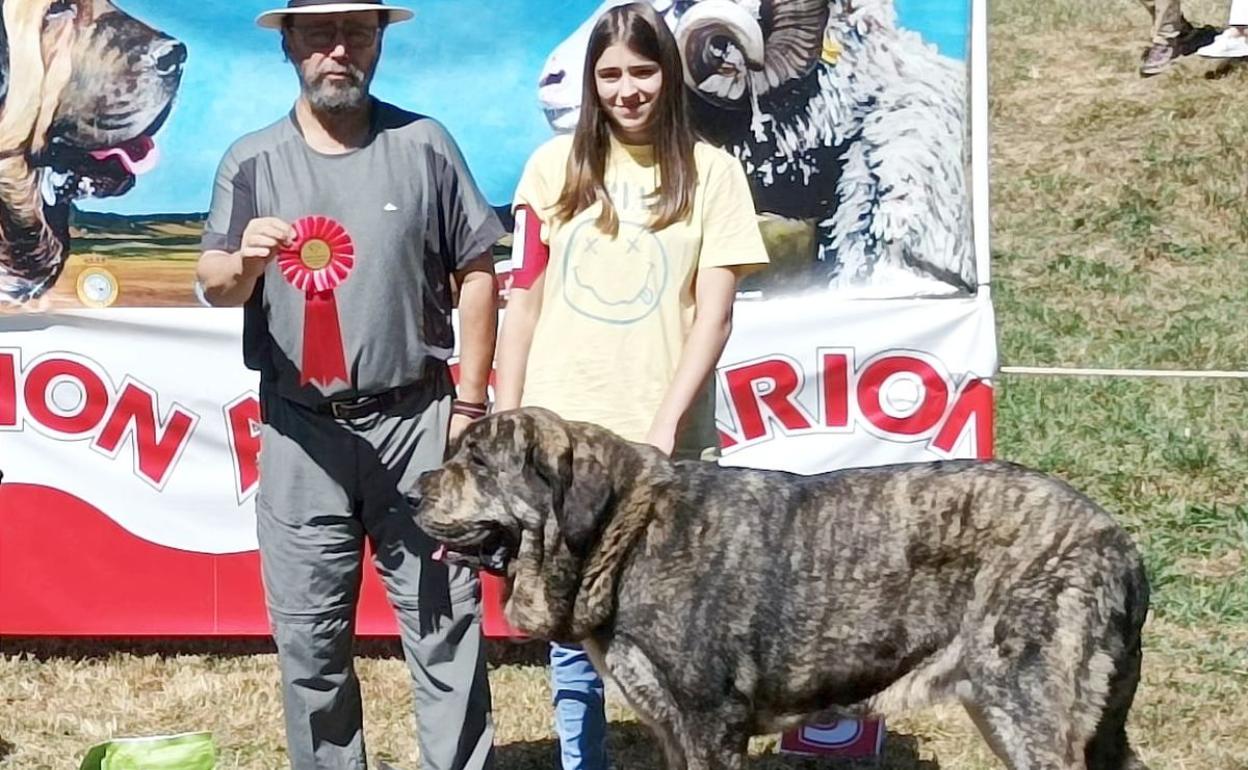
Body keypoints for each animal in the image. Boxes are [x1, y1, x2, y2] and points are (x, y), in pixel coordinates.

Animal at [416, 404, 1148, 763]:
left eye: (477, 462)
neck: (625, 536)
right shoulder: (673, 728)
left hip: (1029, 711)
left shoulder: (712, 723)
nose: (415, 488)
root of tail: (1120, 543)